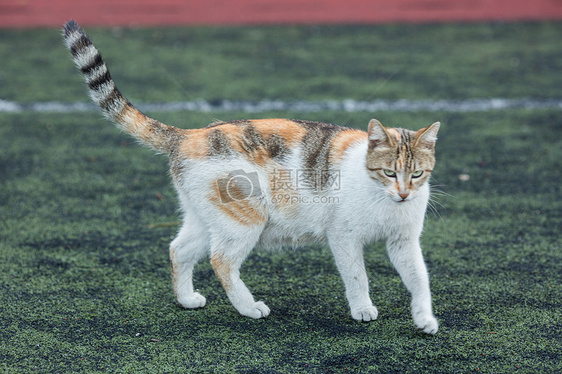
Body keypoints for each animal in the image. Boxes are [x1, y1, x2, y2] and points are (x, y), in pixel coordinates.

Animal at [61, 19, 438, 334]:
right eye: (388, 172)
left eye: (417, 174)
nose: (404, 194)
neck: (384, 201)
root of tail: (189, 134)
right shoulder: (344, 237)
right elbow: (358, 276)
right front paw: (362, 309)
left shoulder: (404, 242)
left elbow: (421, 279)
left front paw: (425, 319)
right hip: (244, 219)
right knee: (221, 260)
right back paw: (249, 308)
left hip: (205, 218)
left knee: (178, 250)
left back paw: (187, 299)